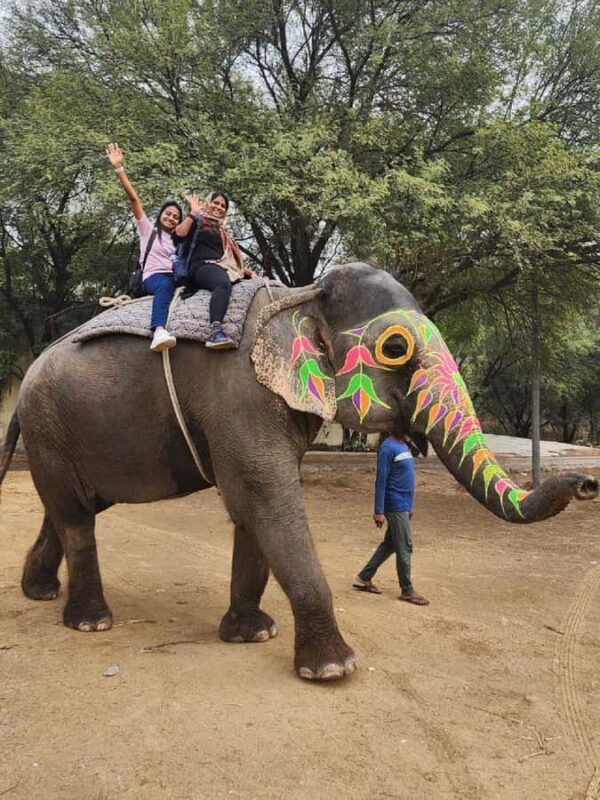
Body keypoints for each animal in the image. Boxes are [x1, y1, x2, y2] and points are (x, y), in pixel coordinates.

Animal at [0, 263, 597, 681]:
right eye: (396, 347)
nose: (586, 483)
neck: (302, 291)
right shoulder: (238, 395)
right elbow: (266, 498)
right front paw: (334, 669)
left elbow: (253, 511)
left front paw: (252, 636)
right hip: (49, 426)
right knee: (76, 515)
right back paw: (90, 621)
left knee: (71, 508)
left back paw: (40, 593)